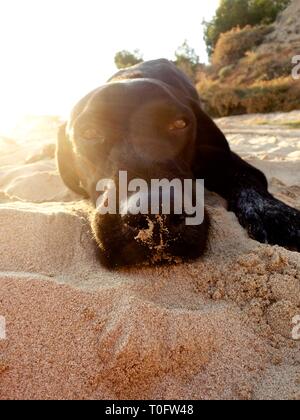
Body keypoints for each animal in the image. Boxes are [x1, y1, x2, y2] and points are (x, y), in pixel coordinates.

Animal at [56, 58, 300, 266]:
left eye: (180, 124)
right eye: (89, 132)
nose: (157, 215)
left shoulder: (226, 159)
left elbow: (249, 180)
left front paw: (275, 215)